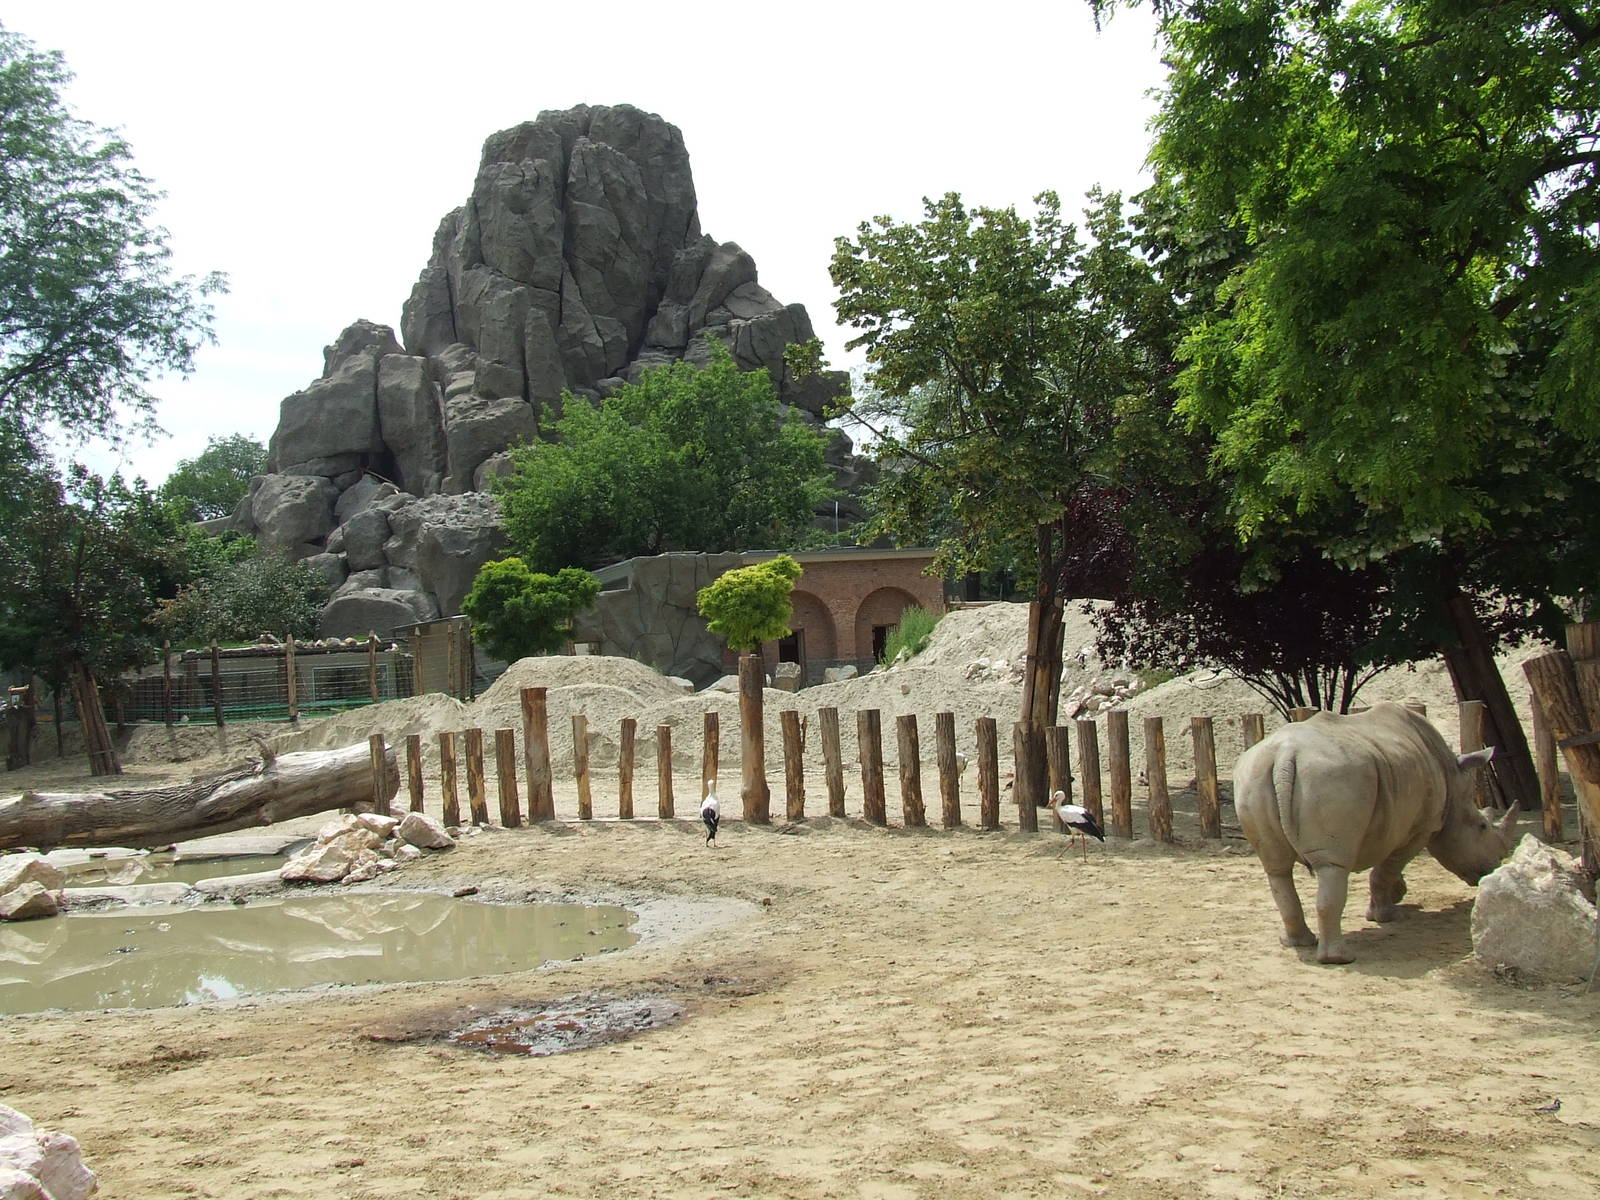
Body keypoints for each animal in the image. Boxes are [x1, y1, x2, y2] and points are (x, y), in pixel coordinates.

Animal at [1233, 702, 1518, 964]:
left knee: (1277, 869)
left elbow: (1386, 866)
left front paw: (1397, 896)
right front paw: (1387, 916)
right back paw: (1339, 959)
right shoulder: (1421, 828)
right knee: (1332, 866)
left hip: (1254, 777)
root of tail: (1284, 755)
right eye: (1482, 827)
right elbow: (1387, 868)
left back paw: (1297, 942)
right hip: (1333, 777)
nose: (1490, 871)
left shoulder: (1391, 818)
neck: (1453, 781)